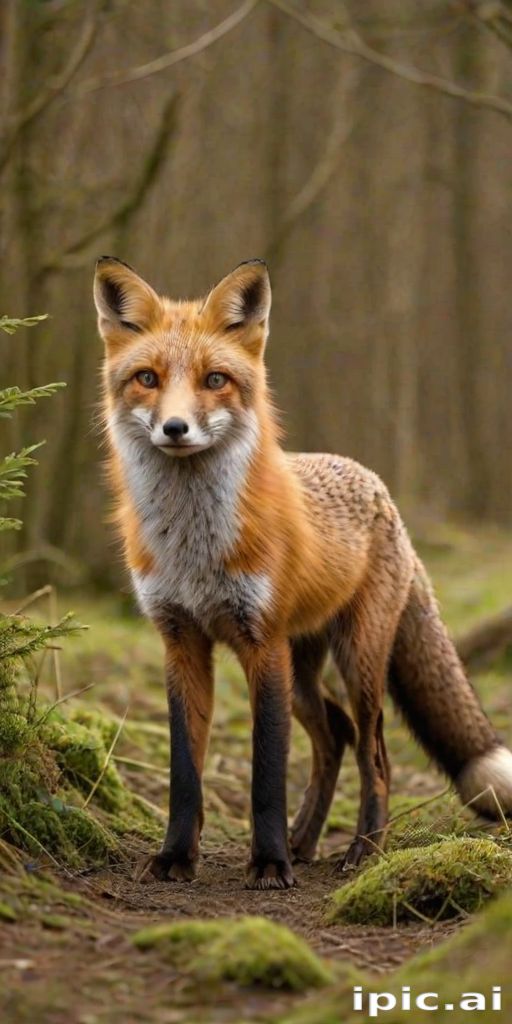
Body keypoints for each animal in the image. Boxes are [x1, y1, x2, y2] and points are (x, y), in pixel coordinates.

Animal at [94, 255, 512, 890]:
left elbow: (267, 771)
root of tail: (381, 490)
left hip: (356, 659)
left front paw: (268, 862)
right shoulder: (182, 641)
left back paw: (362, 851)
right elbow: (184, 771)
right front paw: (176, 856)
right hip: (303, 669)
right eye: (147, 378)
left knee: (373, 750)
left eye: (215, 380)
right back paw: (306, 840)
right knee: (334, 734)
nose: (175, 429)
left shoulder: (261, 642)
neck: (194, 548)